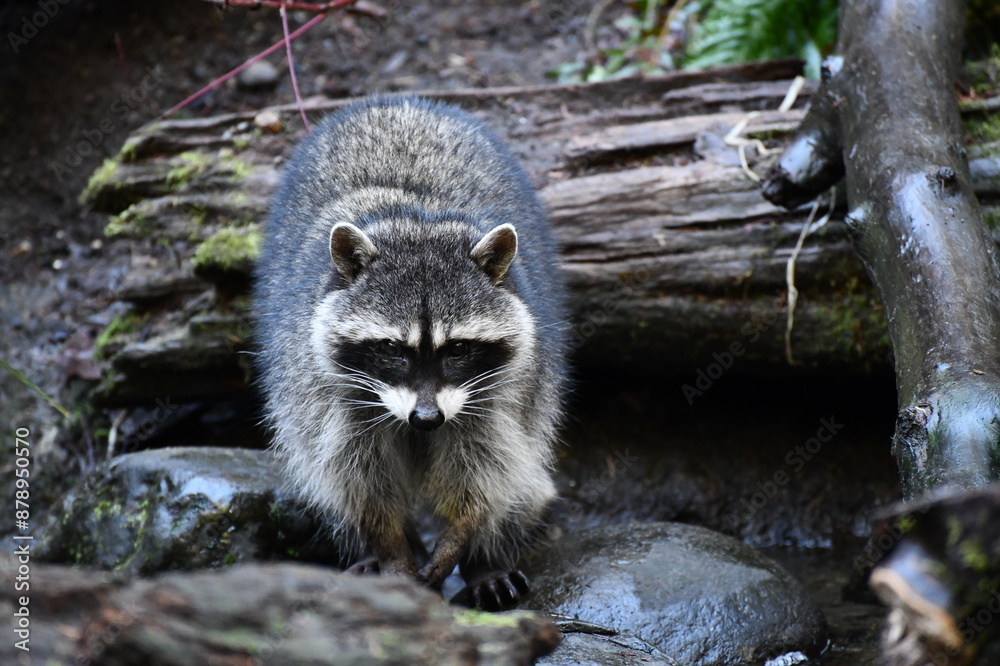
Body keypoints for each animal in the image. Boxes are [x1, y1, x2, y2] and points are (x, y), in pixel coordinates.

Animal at [253, 97, 568, 609]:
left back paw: (486, 560)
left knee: (520, 472)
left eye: (457, 348)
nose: (426, 419)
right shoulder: (324, 387)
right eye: (390, 349)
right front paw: (391, 552)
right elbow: (357, 479)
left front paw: (461, 541)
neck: (417, 220)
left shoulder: (499, 391)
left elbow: (485, 470)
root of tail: (395, 102)